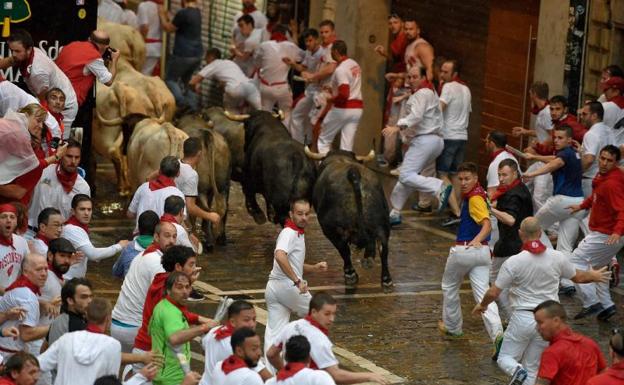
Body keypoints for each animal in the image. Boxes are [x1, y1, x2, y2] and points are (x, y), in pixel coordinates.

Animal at [304, 147, 392, 288]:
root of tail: (353, 173)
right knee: (383, 248)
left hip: (332, 228)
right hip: (382, 223)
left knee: (343, 249)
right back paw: (386, 279)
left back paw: (350, 274)